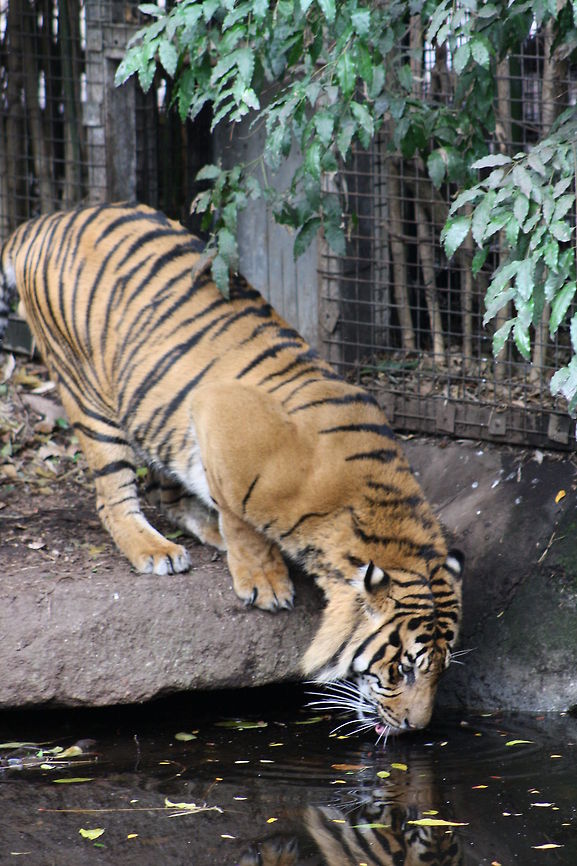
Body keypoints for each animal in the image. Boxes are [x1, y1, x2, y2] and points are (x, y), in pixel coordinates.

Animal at [0, 202, 463, 736]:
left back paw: (202, 527)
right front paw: (264, 584)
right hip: (88, 392)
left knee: (168, 491)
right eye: (404, 668)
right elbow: (243, 520)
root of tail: (45, 221)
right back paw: (155, 551)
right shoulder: (217, 410)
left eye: (442, 669)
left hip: (152, 409)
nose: (417, 727)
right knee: (114, 495)